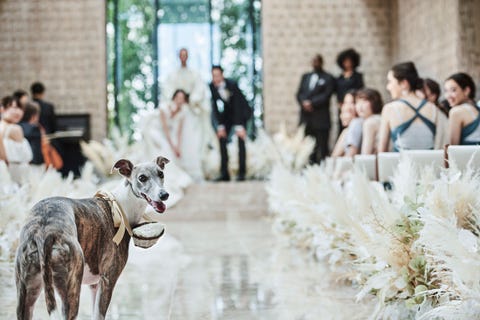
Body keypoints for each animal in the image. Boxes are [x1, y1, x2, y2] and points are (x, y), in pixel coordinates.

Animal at [15, 158, 170, 320]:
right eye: (142, 178)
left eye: (161, 174)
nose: (164, 195)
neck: (121, 207)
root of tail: (44, 233)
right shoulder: (107, 280)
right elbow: (99, 314)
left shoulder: (95, 285)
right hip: (71, 292)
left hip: (26, 294)